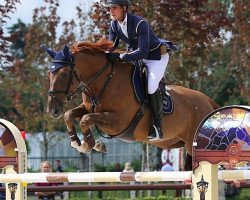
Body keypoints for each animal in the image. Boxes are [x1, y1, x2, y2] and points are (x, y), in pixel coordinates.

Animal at [45, 38, 219, 169]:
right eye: (49, 73)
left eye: (64, 74)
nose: (52, 110)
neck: (105, 80)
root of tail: (207, 100)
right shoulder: (88, 108)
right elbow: (70, 115)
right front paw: (78, 142)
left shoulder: (118, 122)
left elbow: (86, 119)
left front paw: (89, 144)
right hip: (174, 141)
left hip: (191, 143)